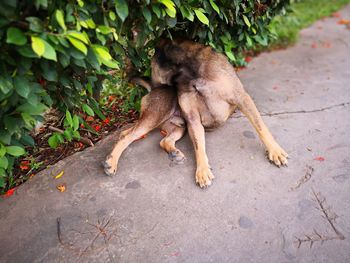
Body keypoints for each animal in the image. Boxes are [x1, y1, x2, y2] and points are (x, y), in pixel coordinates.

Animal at [150, 38, 288, 188]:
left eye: (151, 67)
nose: (152, 89)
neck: (187, 72)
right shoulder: (193, 119)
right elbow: (198, 145)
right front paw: (202, 169)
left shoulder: (241, 98)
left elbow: (260, 126)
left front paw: (275, 150)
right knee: (164, 141)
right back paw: (174, 153)